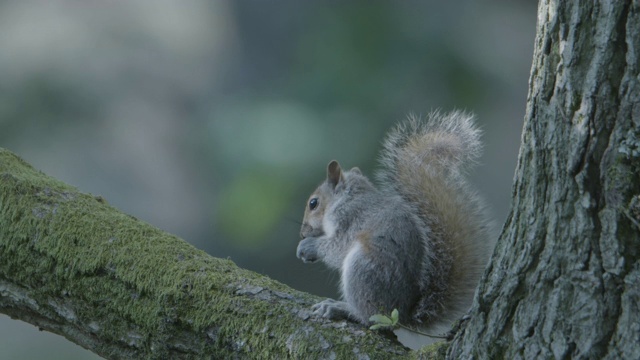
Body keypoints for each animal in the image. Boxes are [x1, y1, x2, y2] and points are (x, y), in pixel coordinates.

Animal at [296, 110, 496, 334]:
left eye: (313, 203)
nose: (302, 233)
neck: (348, 197)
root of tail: (403, 314)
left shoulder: (352, 218)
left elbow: (337, 247)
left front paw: (308, 247)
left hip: (364, 269)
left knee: (370, 317)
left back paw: (341, 308)